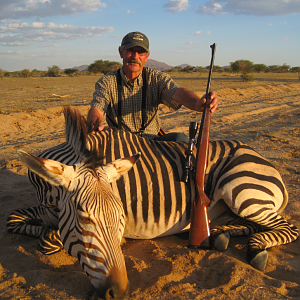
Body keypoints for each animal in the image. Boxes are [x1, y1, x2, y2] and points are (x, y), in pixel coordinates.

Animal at [7, 106, 298, 298]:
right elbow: (13, 220)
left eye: (121, 218)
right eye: (83, 219)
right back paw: (221, 235)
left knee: (287, 227)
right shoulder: (43, 208)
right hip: (237, 204)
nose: (117, 291)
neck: (49, 195)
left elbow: (48, 241)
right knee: (250, 224)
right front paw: (39, 228)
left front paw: (48, 234)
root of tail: (261, 158)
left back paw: (255, 250)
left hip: (241, 190)